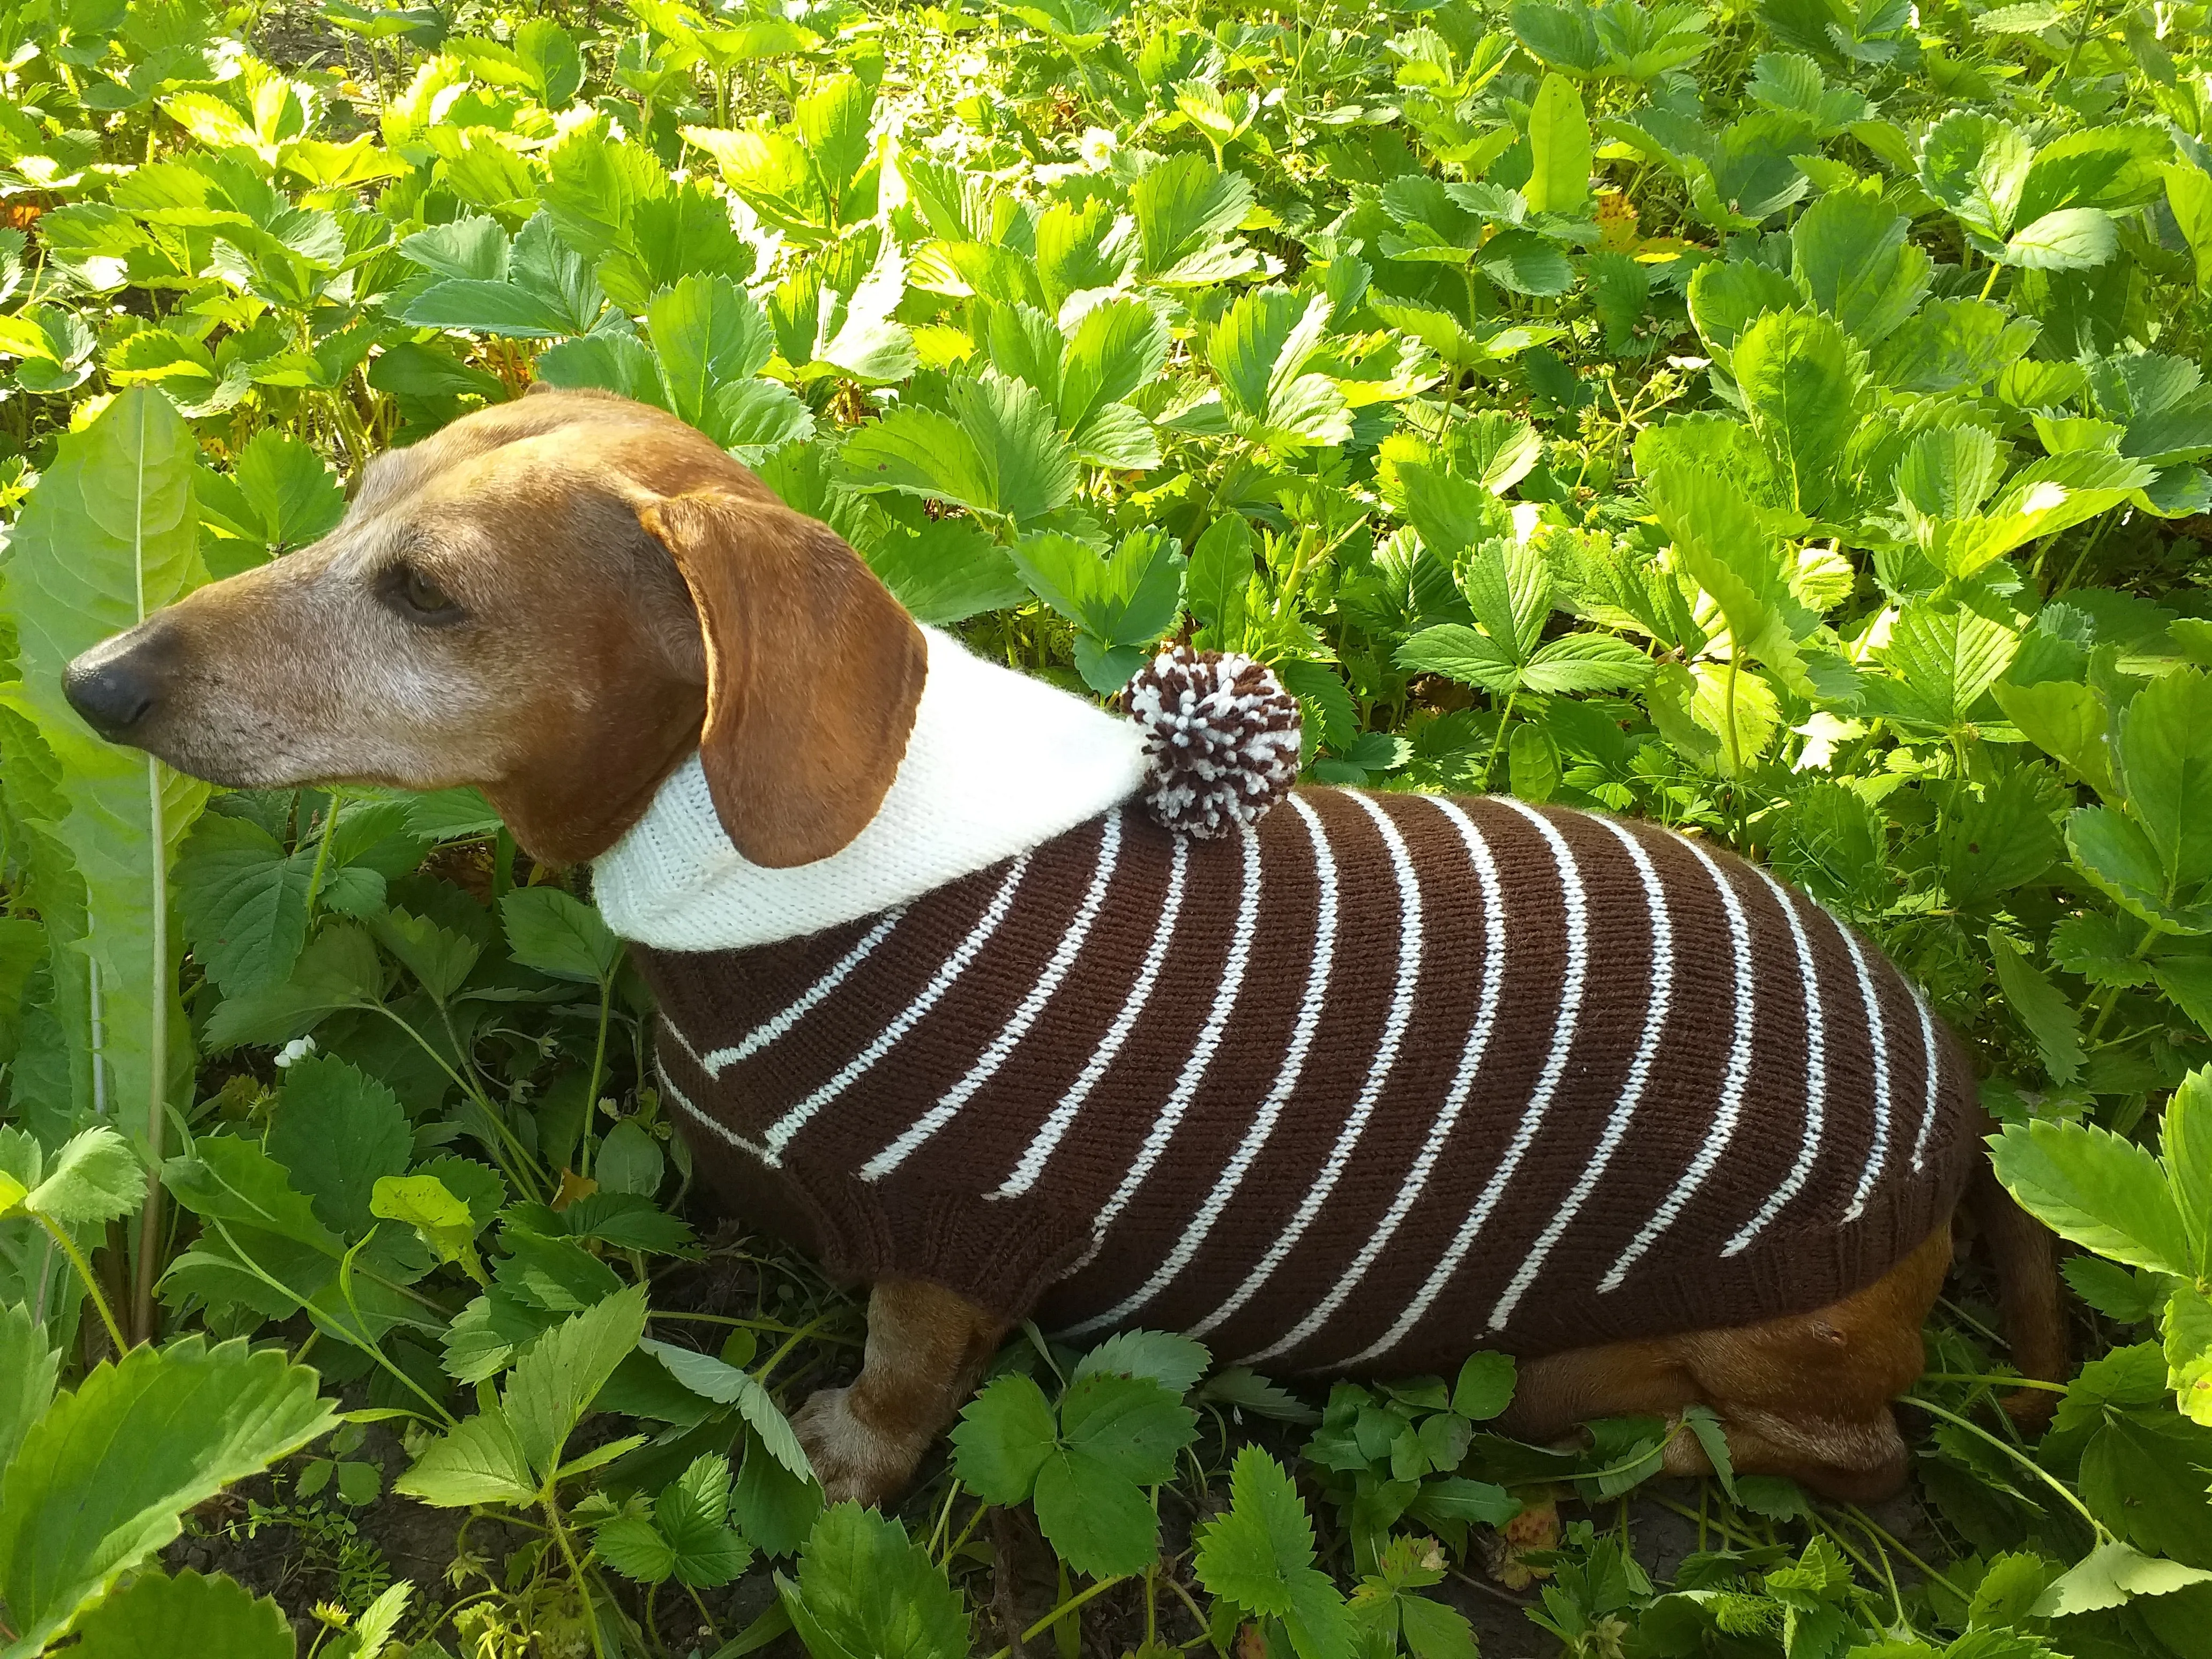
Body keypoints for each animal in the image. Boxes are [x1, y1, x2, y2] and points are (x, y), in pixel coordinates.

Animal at [61, 389, 2061, 1504]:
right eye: (352, 499)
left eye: (430, 595)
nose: (89, 682)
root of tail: (1961, 1118)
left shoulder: (962, 1239)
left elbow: (897, 1382)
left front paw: (846, 1464)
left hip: (1750, 1349)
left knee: (1844, 1455)